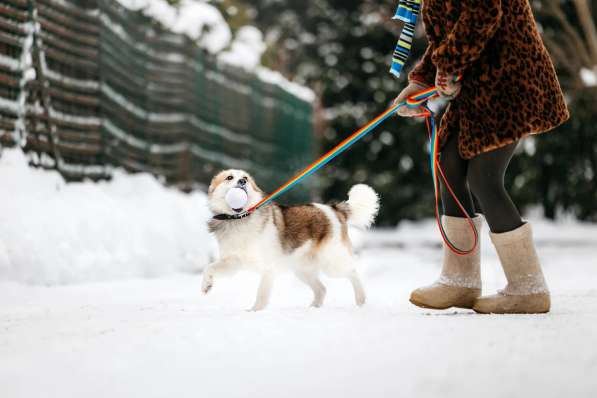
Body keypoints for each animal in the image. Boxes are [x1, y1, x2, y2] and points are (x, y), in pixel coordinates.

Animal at [200, 168, 378, 310]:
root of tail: (334, 209)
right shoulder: (233, 262)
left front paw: (255, 312)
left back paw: (361, 300)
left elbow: (261, 294)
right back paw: (313, 308)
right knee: (322, 289)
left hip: (331, 262)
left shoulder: (268, 268)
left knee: (353, 272)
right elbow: (209, 267)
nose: (242, 181)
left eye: (246, 178)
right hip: (302, 269)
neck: (239, 219)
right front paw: (206, 285)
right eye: (229, 177)